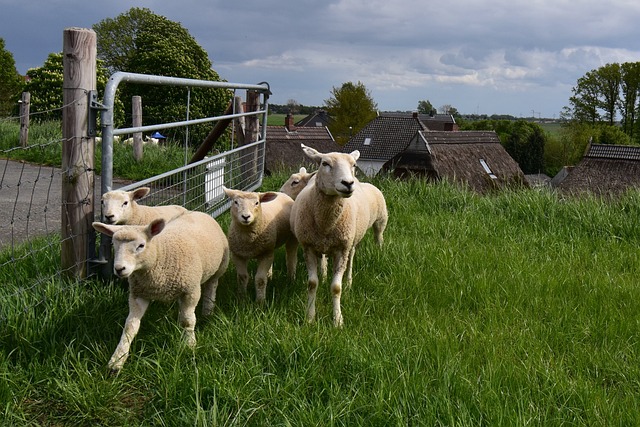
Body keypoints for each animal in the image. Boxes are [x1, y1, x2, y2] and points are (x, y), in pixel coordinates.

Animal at [91, 211, 229, 374]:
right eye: (114, 245)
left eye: (141, 245)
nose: (119, 269)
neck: (159, 254)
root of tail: (199, 212)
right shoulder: (138, 294)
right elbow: (130, 327)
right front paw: (117, 360)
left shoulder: (191, 290)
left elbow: (188, 321)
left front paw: (190, 345)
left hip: (219, 268)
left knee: (211, 287)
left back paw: (208, 310)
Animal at [288, 144, 388, 328]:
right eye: (325, 163)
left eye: (354, 165)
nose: (348, 183)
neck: (326, 223)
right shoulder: (308, 247)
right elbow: (312, 284)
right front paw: (310, 317)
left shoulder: (342, 248)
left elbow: (336, 287)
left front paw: (337, 320)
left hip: (360, 235)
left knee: (353, 257)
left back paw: (348, 281)